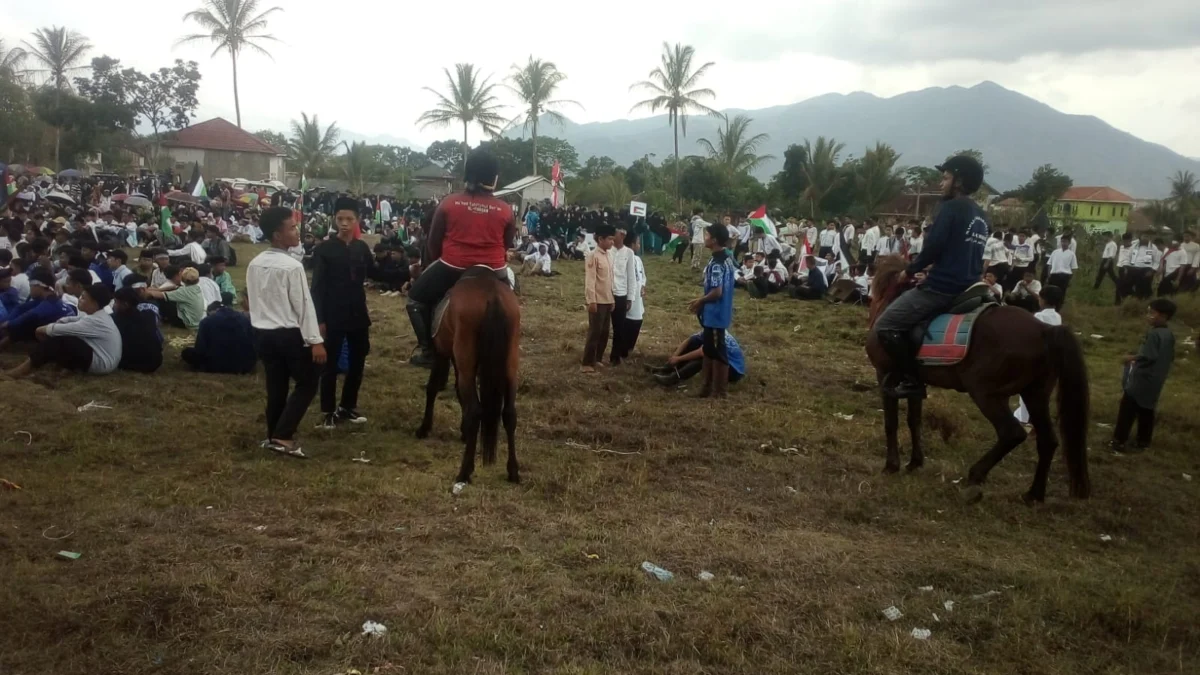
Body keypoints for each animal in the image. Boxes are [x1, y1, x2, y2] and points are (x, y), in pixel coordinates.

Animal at [417, 265, 520, 485]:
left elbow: (433, 387)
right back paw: (513, 471)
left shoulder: (442, 352)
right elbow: (457, 391)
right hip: (510, 366)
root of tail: (492, 295)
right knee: (509, 413)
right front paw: (463, 431)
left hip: (466, 361)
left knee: (475, 410)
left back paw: (464, 472)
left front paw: (424, 428)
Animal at [868, 254, 1094, 502]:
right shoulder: (914, 383)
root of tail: (1045, 330)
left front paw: (891, 465)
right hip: (1035, 394)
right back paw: (1033, 494)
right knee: (1047, 440)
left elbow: (891, 423)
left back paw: (977, 473)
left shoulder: (885, 375)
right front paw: (914, 463)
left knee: (1012, 433)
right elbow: (914, 421)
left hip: (987, 394)